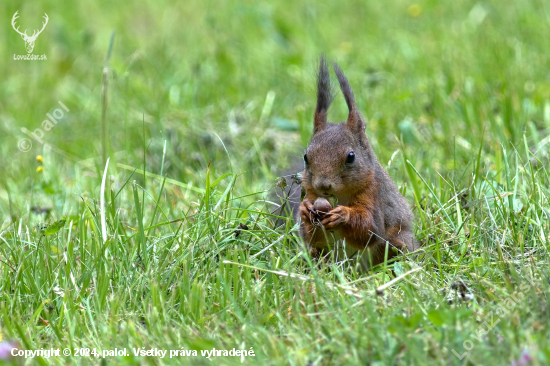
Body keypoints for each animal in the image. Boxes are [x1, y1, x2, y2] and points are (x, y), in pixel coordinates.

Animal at [302, 57, 418, 268]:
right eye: (306, 157)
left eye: (351, 156)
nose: (323, 185)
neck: (339, 196)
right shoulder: (312, 193)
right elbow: (313, 237)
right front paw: (305, 210)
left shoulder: (373, 192)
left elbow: (368, 230)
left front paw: (343, 216)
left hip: (396, 243)